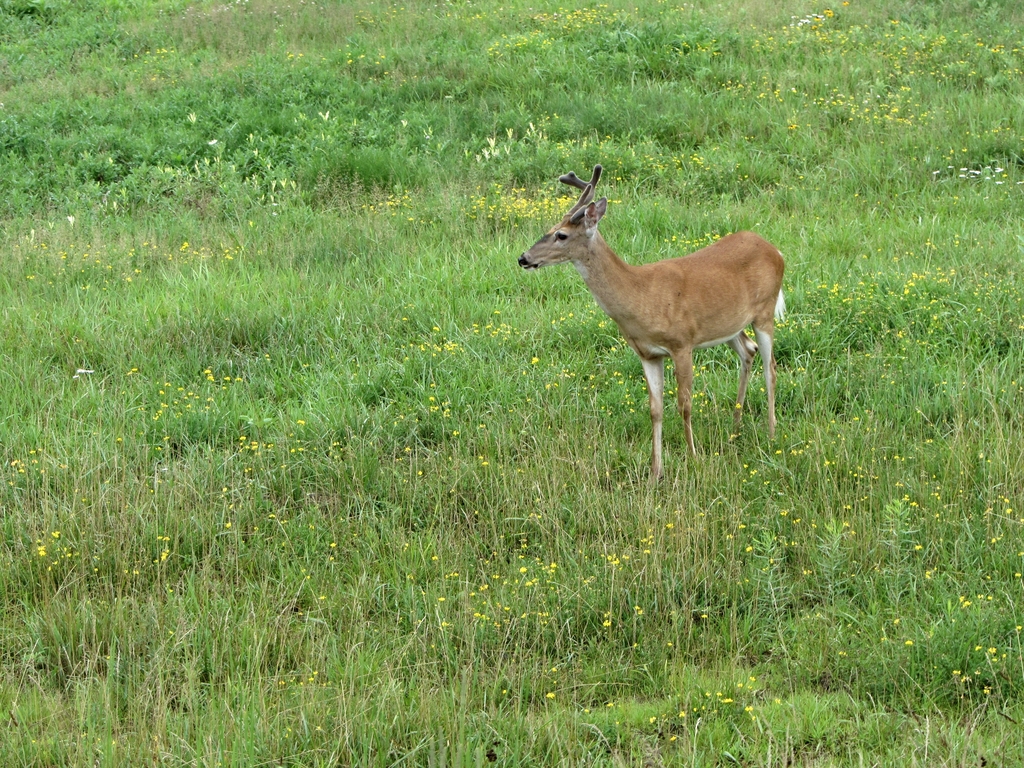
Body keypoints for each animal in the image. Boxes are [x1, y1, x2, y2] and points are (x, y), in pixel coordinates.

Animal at [518, 165, 785, 480]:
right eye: (548, 229)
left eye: (560, 235)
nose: (524, 258)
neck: (641, 295)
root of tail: (776, 251)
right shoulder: (647, 353)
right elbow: (655, 409)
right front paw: (655, 471)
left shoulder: (682, 343)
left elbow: (684, 404)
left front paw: (693, 458)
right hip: (730, 324)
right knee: (748, 350)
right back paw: (735, 428)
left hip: (765, 310)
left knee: (771, 368)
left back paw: (771, 434)